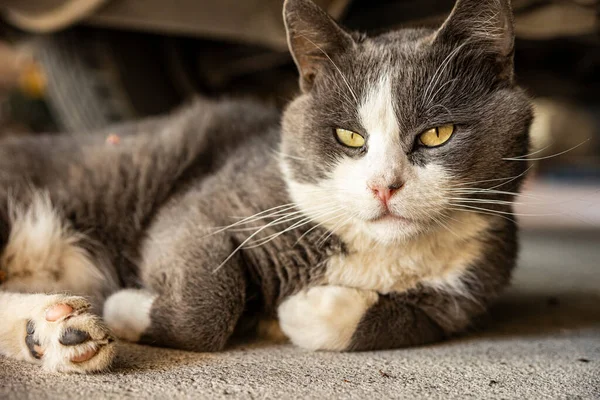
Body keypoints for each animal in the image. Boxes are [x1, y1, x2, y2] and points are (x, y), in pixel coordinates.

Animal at [0, 0, 532, 372]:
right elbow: (208, 303)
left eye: (437, 134)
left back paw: (56, 331)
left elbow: (410, 321)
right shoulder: (208, 204)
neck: (381, 251)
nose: (385, 186)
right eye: (349, 136)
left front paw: (303, 312)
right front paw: (124, 306)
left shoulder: (470, 285)